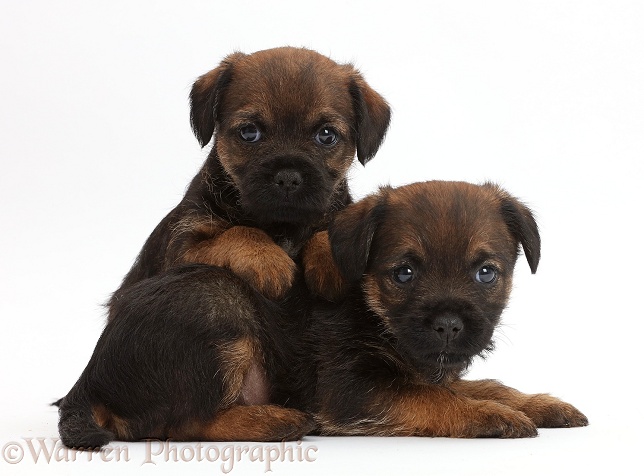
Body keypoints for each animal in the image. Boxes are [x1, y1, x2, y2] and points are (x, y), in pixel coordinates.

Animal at [306, 180, 588, 436]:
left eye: (486, 273)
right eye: (404, 274)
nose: (448, 325)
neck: (373, 317)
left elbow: (487, 387)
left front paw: (537, 403)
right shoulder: (350, 389)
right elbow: (431, 396)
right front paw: (487, 412)